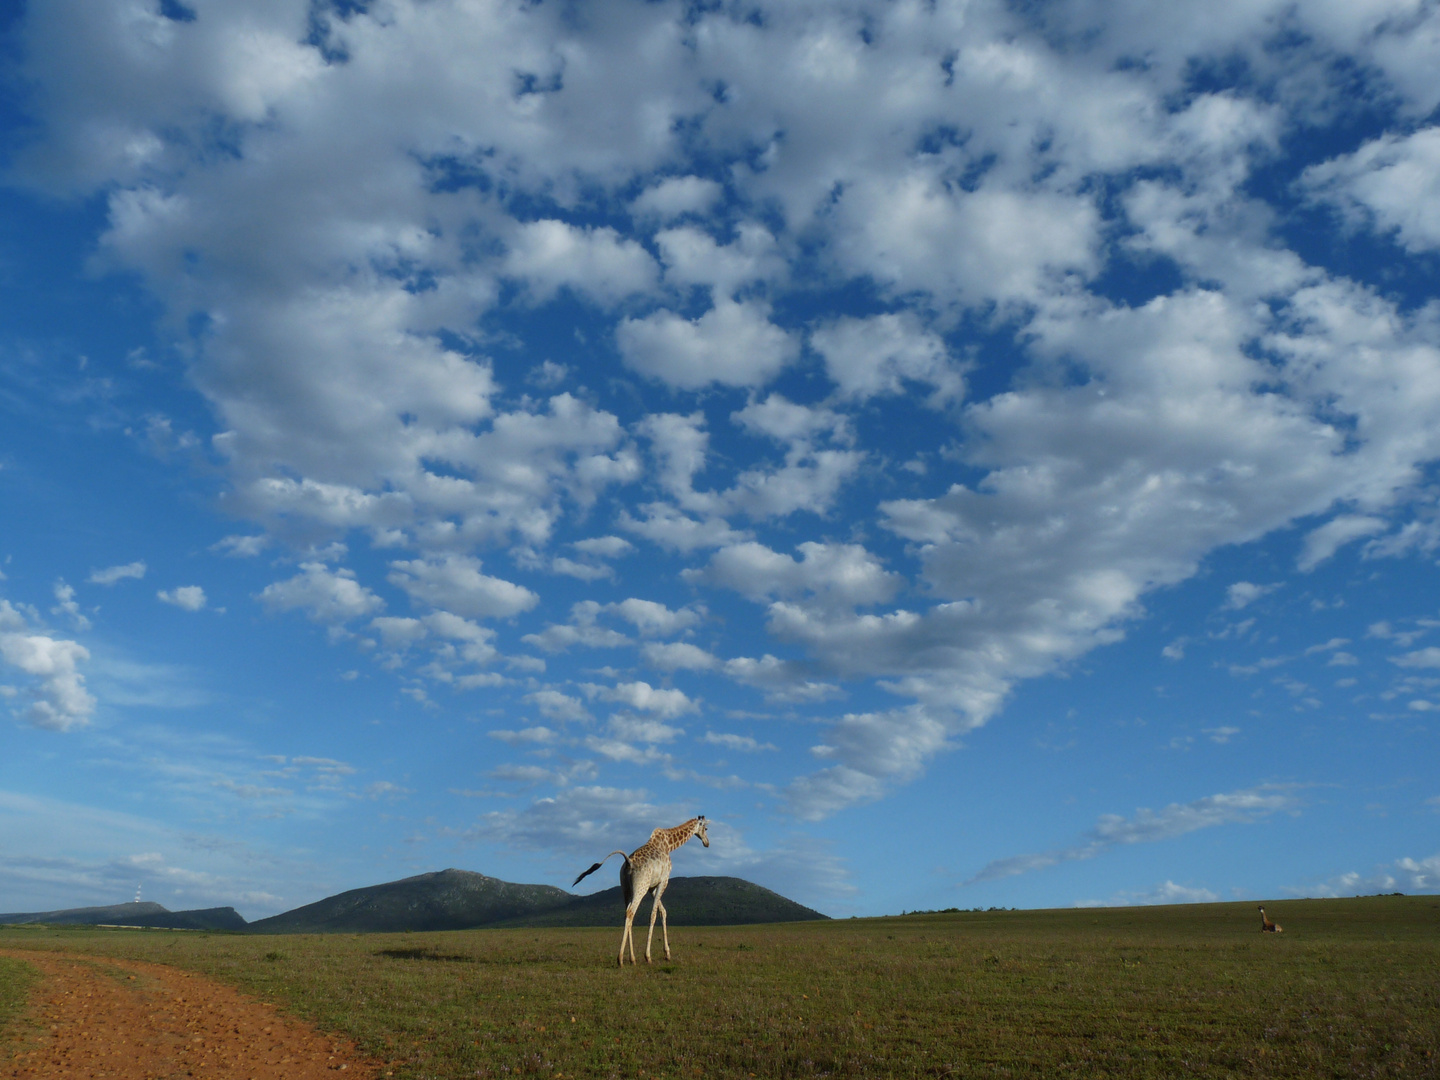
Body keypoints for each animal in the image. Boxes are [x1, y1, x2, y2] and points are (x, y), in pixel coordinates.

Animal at [573, 817, 708, 967]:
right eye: (706, 828)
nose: (707, 843)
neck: (668, 845)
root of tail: (628, 862)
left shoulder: (651, 887)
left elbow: (663, 911)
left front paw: (667, 954)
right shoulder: (663, 881)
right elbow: (653, 914)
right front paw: (648, 956)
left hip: (626, 888)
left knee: (627, 913)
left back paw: (632, 959)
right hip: (640, 888)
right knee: (631, 912)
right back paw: (621, 959)